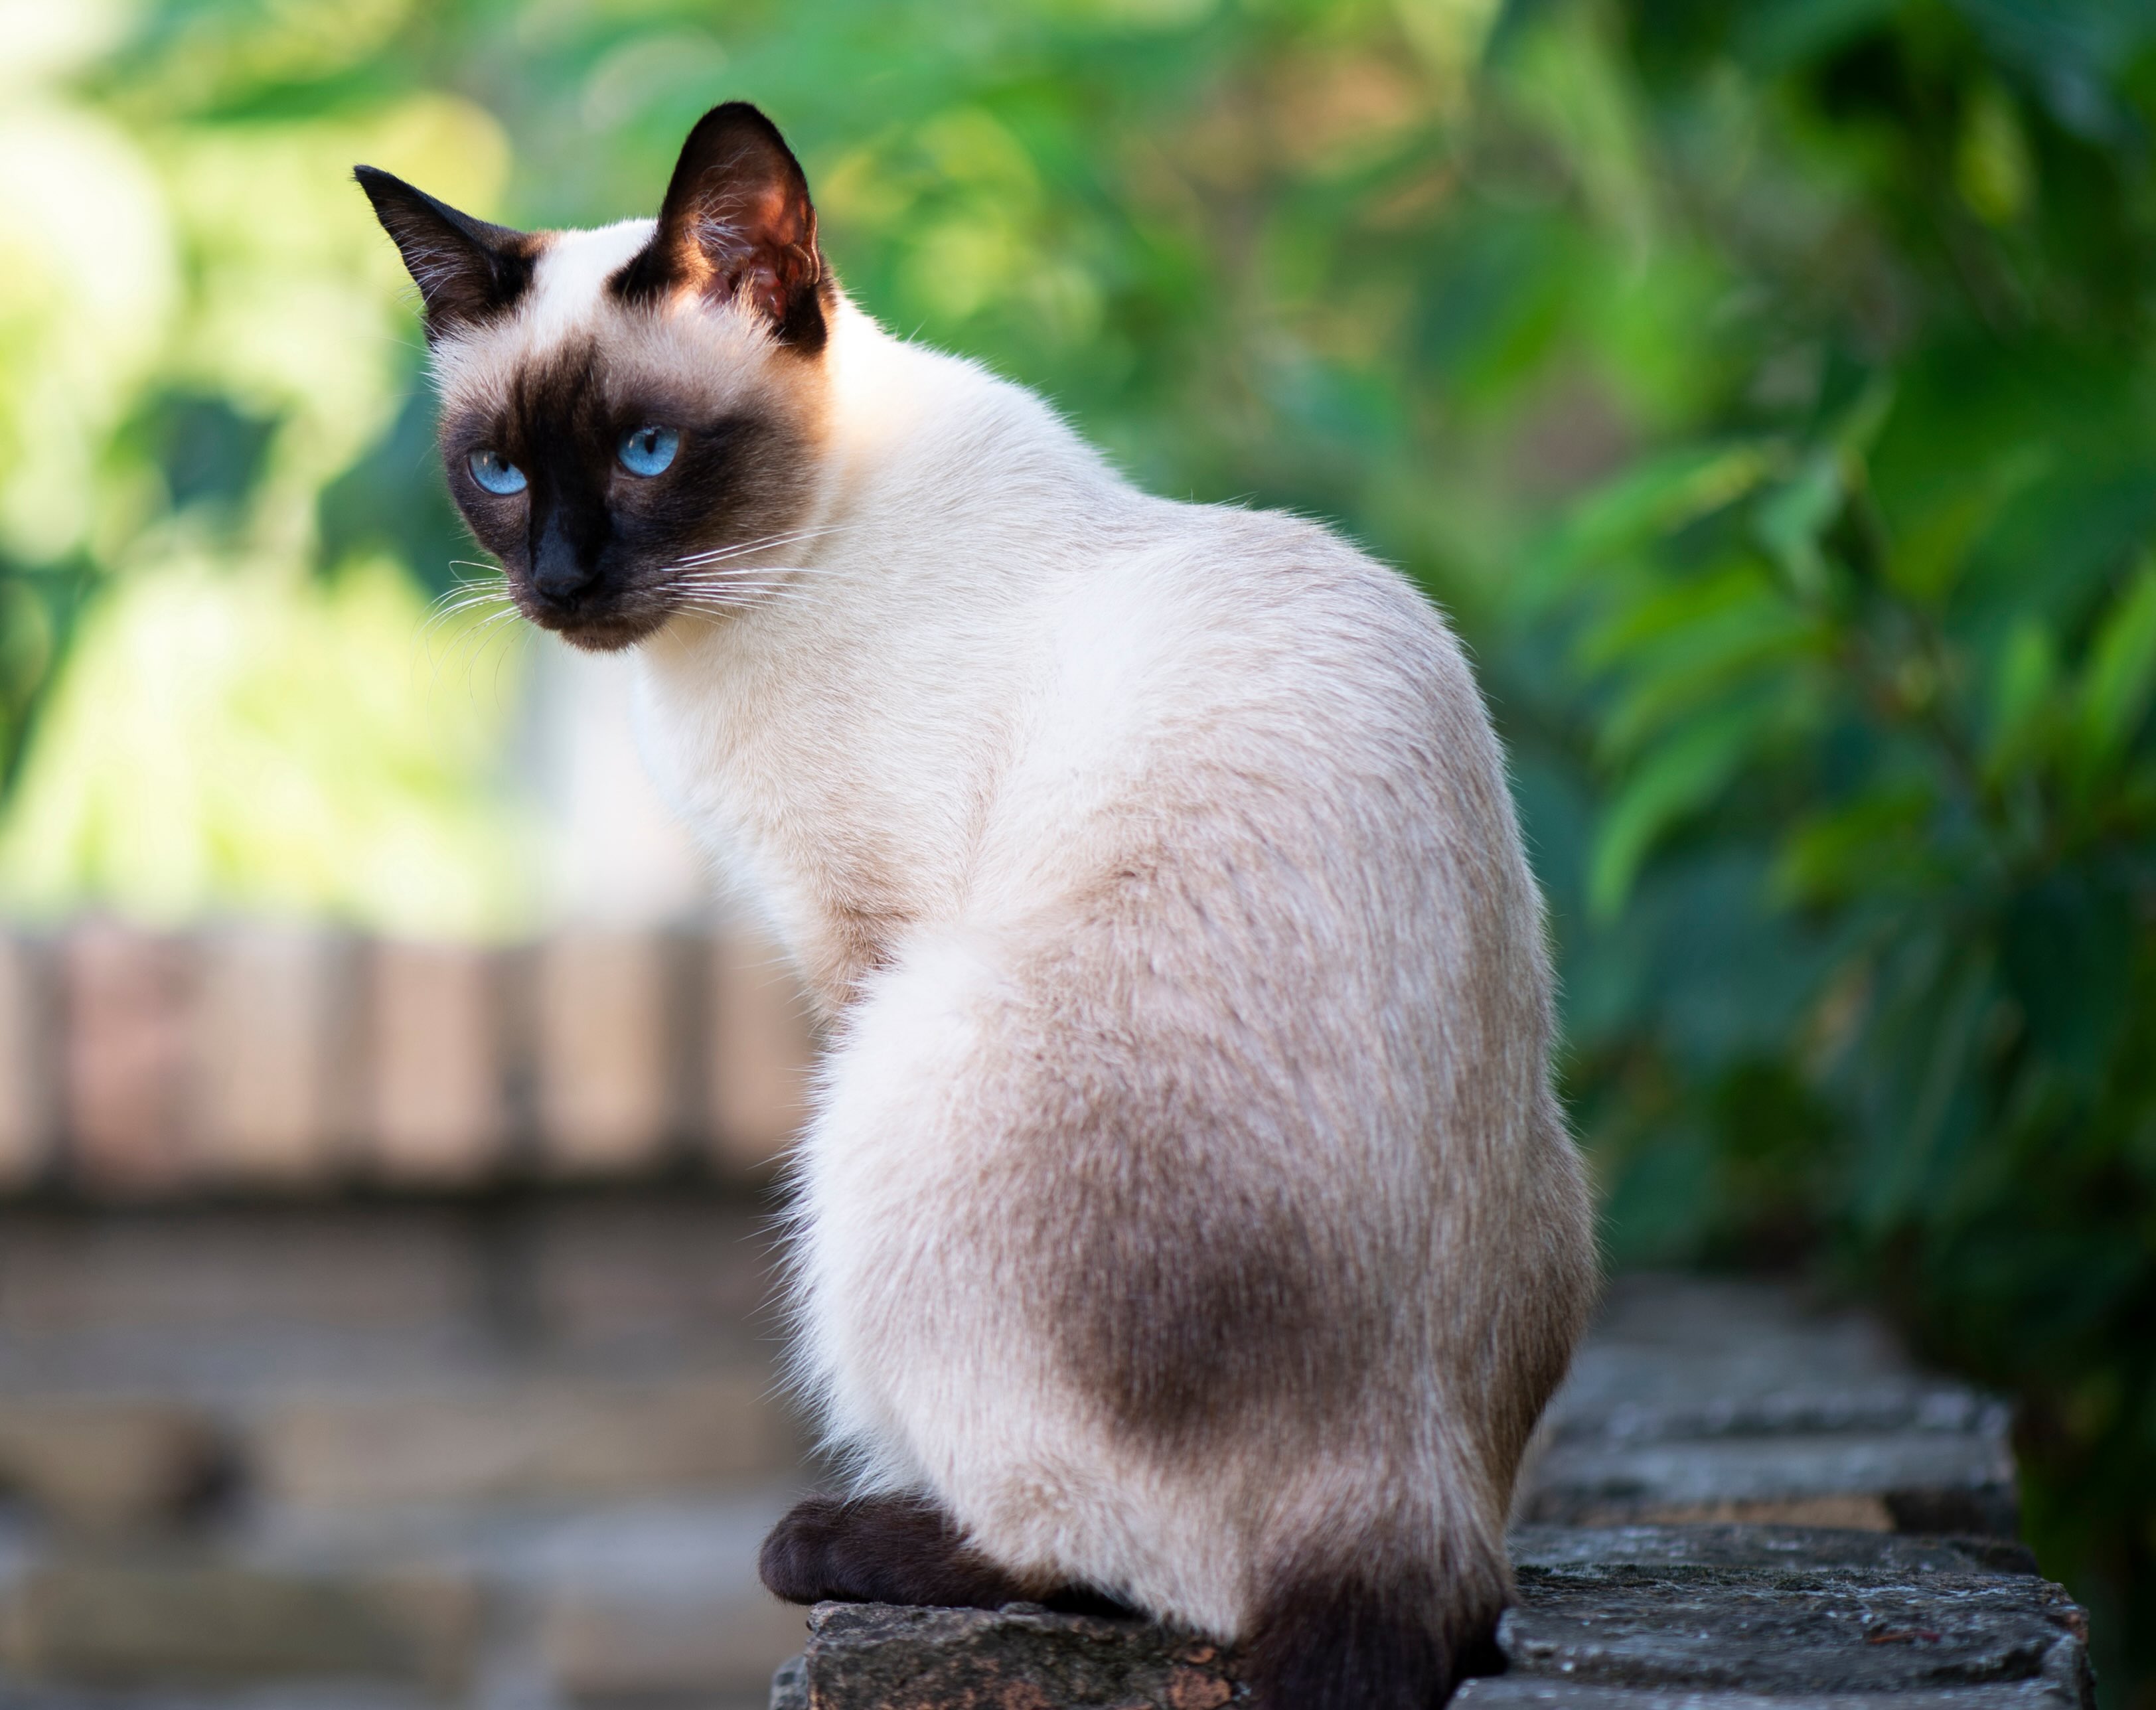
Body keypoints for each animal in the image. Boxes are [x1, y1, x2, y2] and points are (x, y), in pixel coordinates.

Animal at [358, 100, 1604, 1699]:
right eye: (501, 474)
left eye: (647, 451)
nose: (563, 585)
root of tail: (1421, 1519)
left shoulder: (863, 940)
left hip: (897, 1072)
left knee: (1097, 1561)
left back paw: (838, 1540)